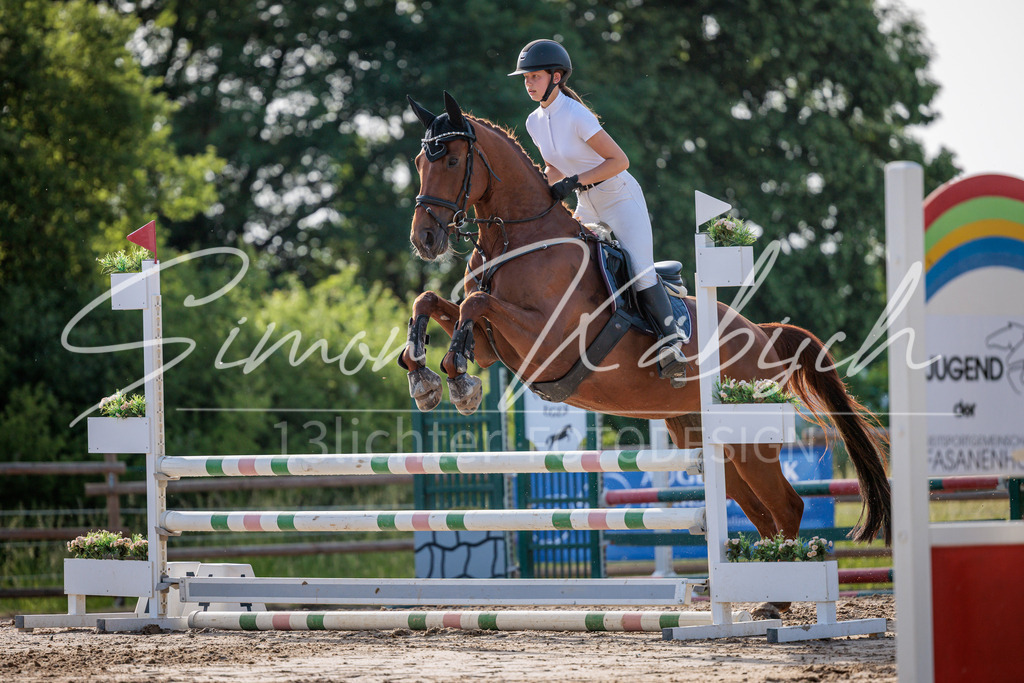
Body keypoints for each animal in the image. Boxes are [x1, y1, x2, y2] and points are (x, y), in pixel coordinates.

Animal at [398, 92, 891, 546]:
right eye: (421, 161)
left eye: (454, 159)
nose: (424, 239)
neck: (517, 240)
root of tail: (764, 335)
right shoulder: (492, 346)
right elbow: (432, 300)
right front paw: (422, 374)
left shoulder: (551, 340)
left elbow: (475, 305)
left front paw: (458, 381)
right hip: (702, 436)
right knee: (761, 513)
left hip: (748, 437)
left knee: (787, 506)